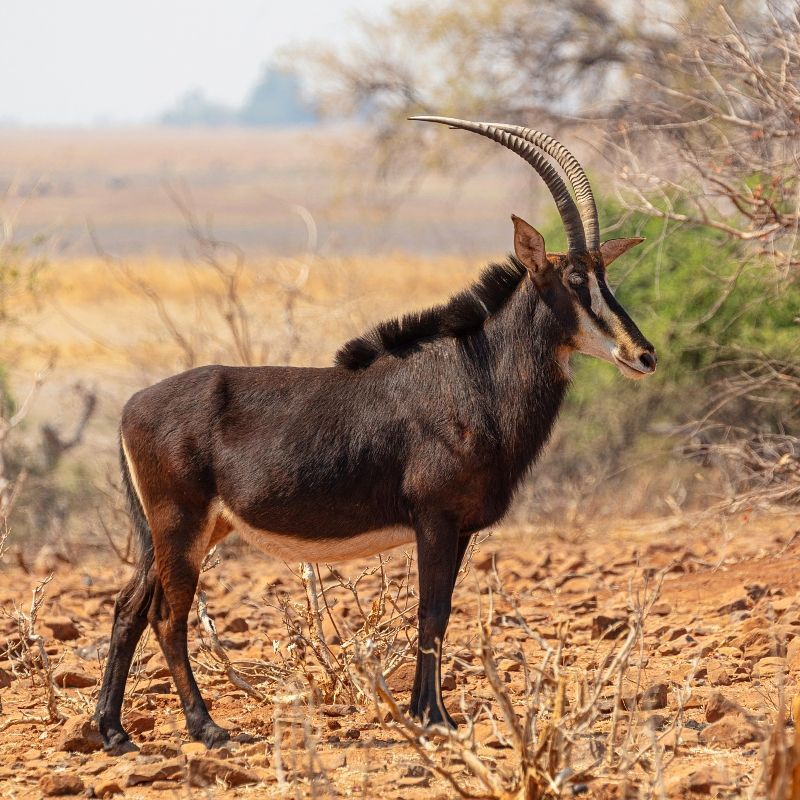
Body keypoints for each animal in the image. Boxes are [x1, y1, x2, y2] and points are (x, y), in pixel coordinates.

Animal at [95, 117, 657, 752]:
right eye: (575, 277)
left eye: (606, 276)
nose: (643, 354)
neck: (472, 375)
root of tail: (131, 406)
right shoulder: (435, 519)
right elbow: (431, 613)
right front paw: (433, 718)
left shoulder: (459, 528)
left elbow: (440, 611)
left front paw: (429, 713)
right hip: (181, 526)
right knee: (167, 617)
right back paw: (206, 726)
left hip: (179, 532)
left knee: (128, 608)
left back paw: (114, 731)